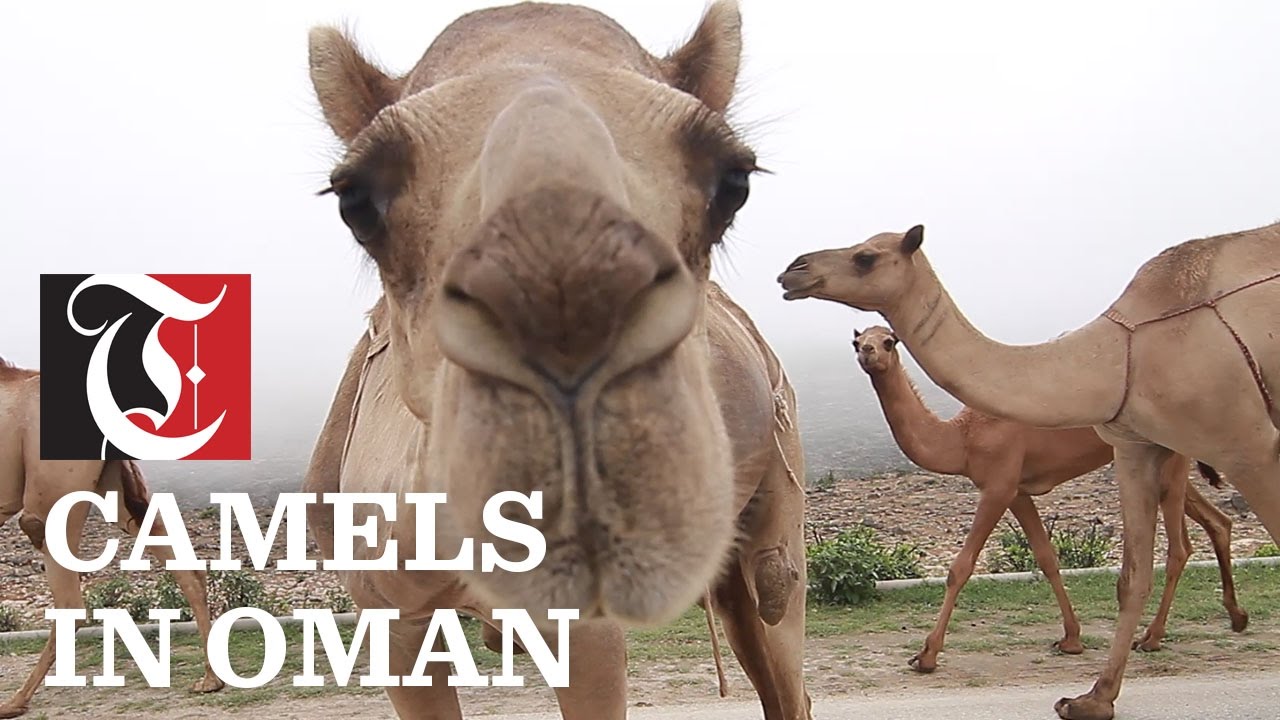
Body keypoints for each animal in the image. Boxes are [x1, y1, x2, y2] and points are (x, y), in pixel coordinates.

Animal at [0, 358, 224, 718]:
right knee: (184, 565)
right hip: (112, 484)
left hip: (52, 494)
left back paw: (15, 701)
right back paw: (211, 679)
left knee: (67, 596)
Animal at [850, 324, 1246, 673]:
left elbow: (961, 567)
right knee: (1217, 521)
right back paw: (1236, 617)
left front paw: (926, 656)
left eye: (889, 341)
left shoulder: (997, 485)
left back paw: (1152, 637)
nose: (867, 351)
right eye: (857, 340)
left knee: (1179, 547)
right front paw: (1071, 639)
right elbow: (1046, 557)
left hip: (1171, 457)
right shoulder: (1018, 491)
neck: (963, 438)